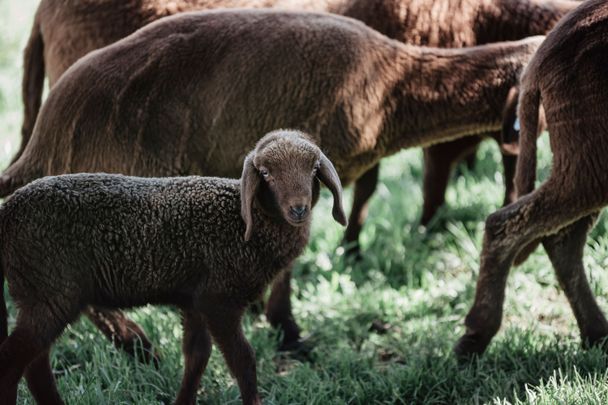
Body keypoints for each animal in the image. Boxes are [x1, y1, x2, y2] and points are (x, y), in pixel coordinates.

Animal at [0, 129, 346, 404]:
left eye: (314, 169)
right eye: (265, 173)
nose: (298, 209)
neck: (245, 223)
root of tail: (8, 214)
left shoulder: (194, 301)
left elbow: (197, 356)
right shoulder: (219, 300)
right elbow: (243, 360)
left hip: (41, 293)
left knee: (35, 364)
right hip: (50, 291)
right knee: (14, 360)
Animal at [454, 0, 608, 360]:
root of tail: (542, 57)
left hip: (585, 156)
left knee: (562, 237)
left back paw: (596, 334)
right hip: (592, 154)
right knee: (509, 225)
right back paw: (476, 335)